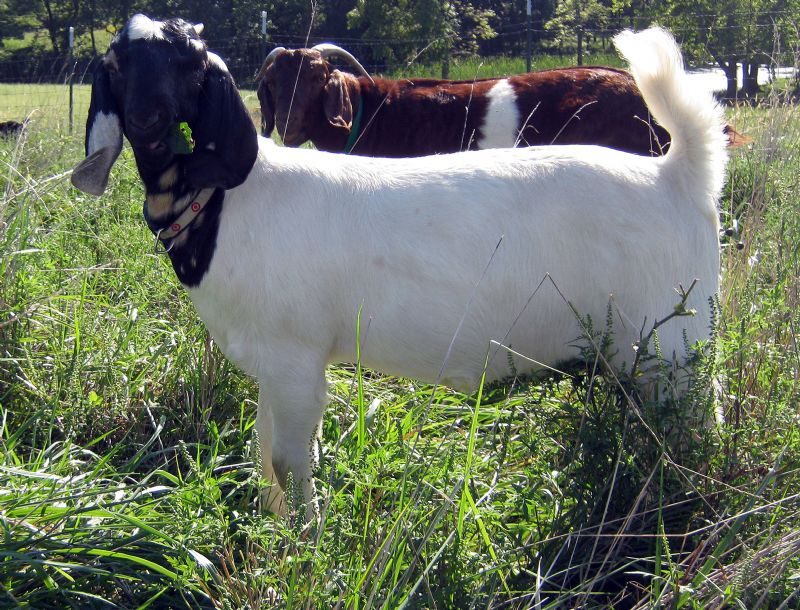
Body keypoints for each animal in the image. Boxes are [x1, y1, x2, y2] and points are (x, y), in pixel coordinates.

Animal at [72, 15, 727, 518]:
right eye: (117, 62)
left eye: (191, 62)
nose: (150, 117)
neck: (229, 202)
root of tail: (676, 175)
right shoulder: (271, 367)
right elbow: (265, 455)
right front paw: (274, 530)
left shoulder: (296, 358)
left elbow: (288, 461)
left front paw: (304, 544)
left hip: (674, 350)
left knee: (697, 427)